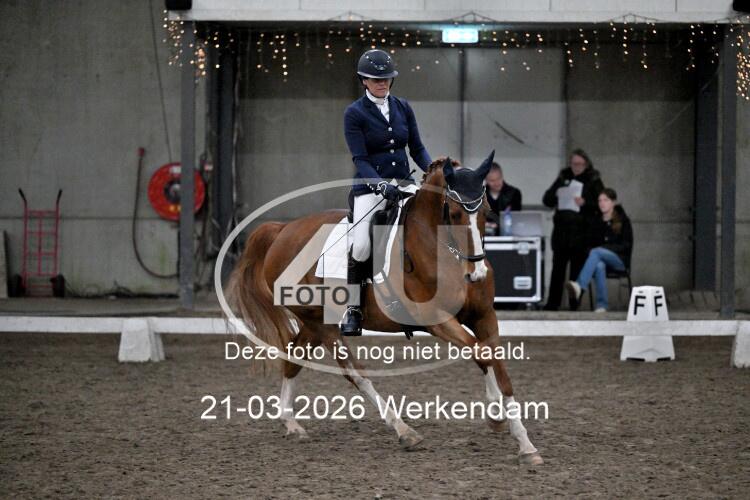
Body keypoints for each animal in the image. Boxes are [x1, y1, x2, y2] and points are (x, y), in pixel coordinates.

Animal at [226, 151, 544, 466]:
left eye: (487, 211)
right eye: (454, 214)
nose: (476, 274)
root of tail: (282, 229)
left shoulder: (483, 316)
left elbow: (495, 363)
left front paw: (518, 436)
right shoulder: (437, 321)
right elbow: (483, 354)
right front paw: (502, 420)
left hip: (314, 321)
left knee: (294, 356)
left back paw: (291, 424)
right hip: (322, 325)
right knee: (354, 373)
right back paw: (404, 431)